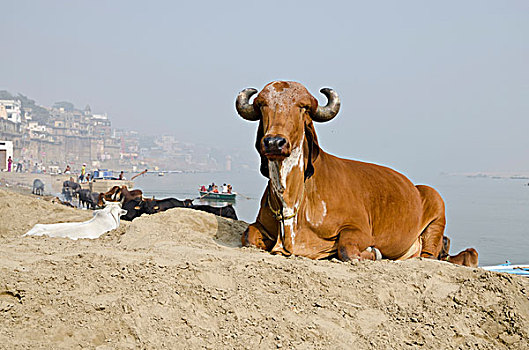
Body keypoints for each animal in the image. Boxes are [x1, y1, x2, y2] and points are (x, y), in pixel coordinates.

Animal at [234, 80, 474, 266]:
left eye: (302, 107)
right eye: (262, 105)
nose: (274, 142)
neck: (293, 199)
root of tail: (415, 188)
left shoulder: (359, 229)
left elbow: (347, 250)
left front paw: (373, 253)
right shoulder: (261, 225)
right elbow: (248, 235)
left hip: (435, 201)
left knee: (429, 255)